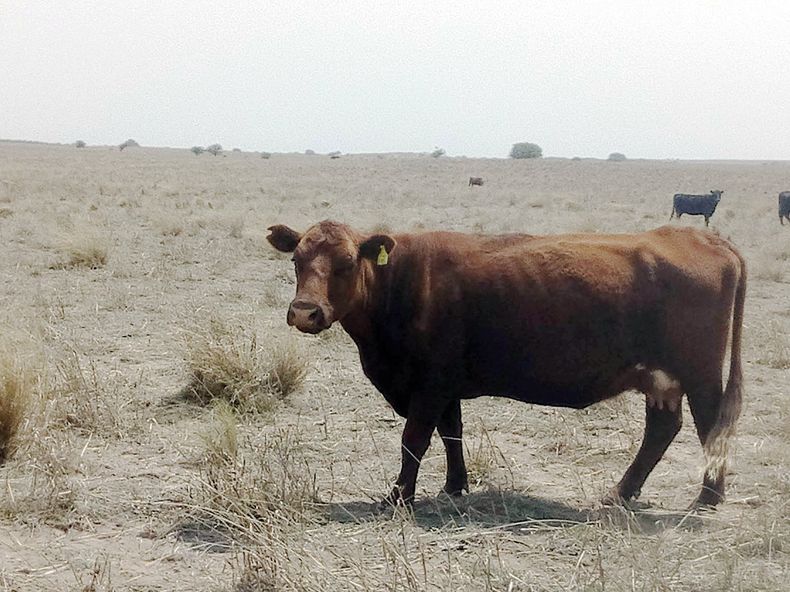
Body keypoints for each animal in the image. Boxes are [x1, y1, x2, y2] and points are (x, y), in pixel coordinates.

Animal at [267, 221, 745, 509]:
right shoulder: (446, 386)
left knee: (709, 424)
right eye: (297, 260)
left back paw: (709, 495)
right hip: (661, 380)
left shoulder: (429, 385)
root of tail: (704, 238)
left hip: (700, 374)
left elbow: (414, 440)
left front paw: (398, 496)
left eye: (347, 263)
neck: (400, 282)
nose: (305, 312)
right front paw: (454, 486)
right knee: (663, 429)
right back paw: (621, 492)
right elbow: (451, 434)